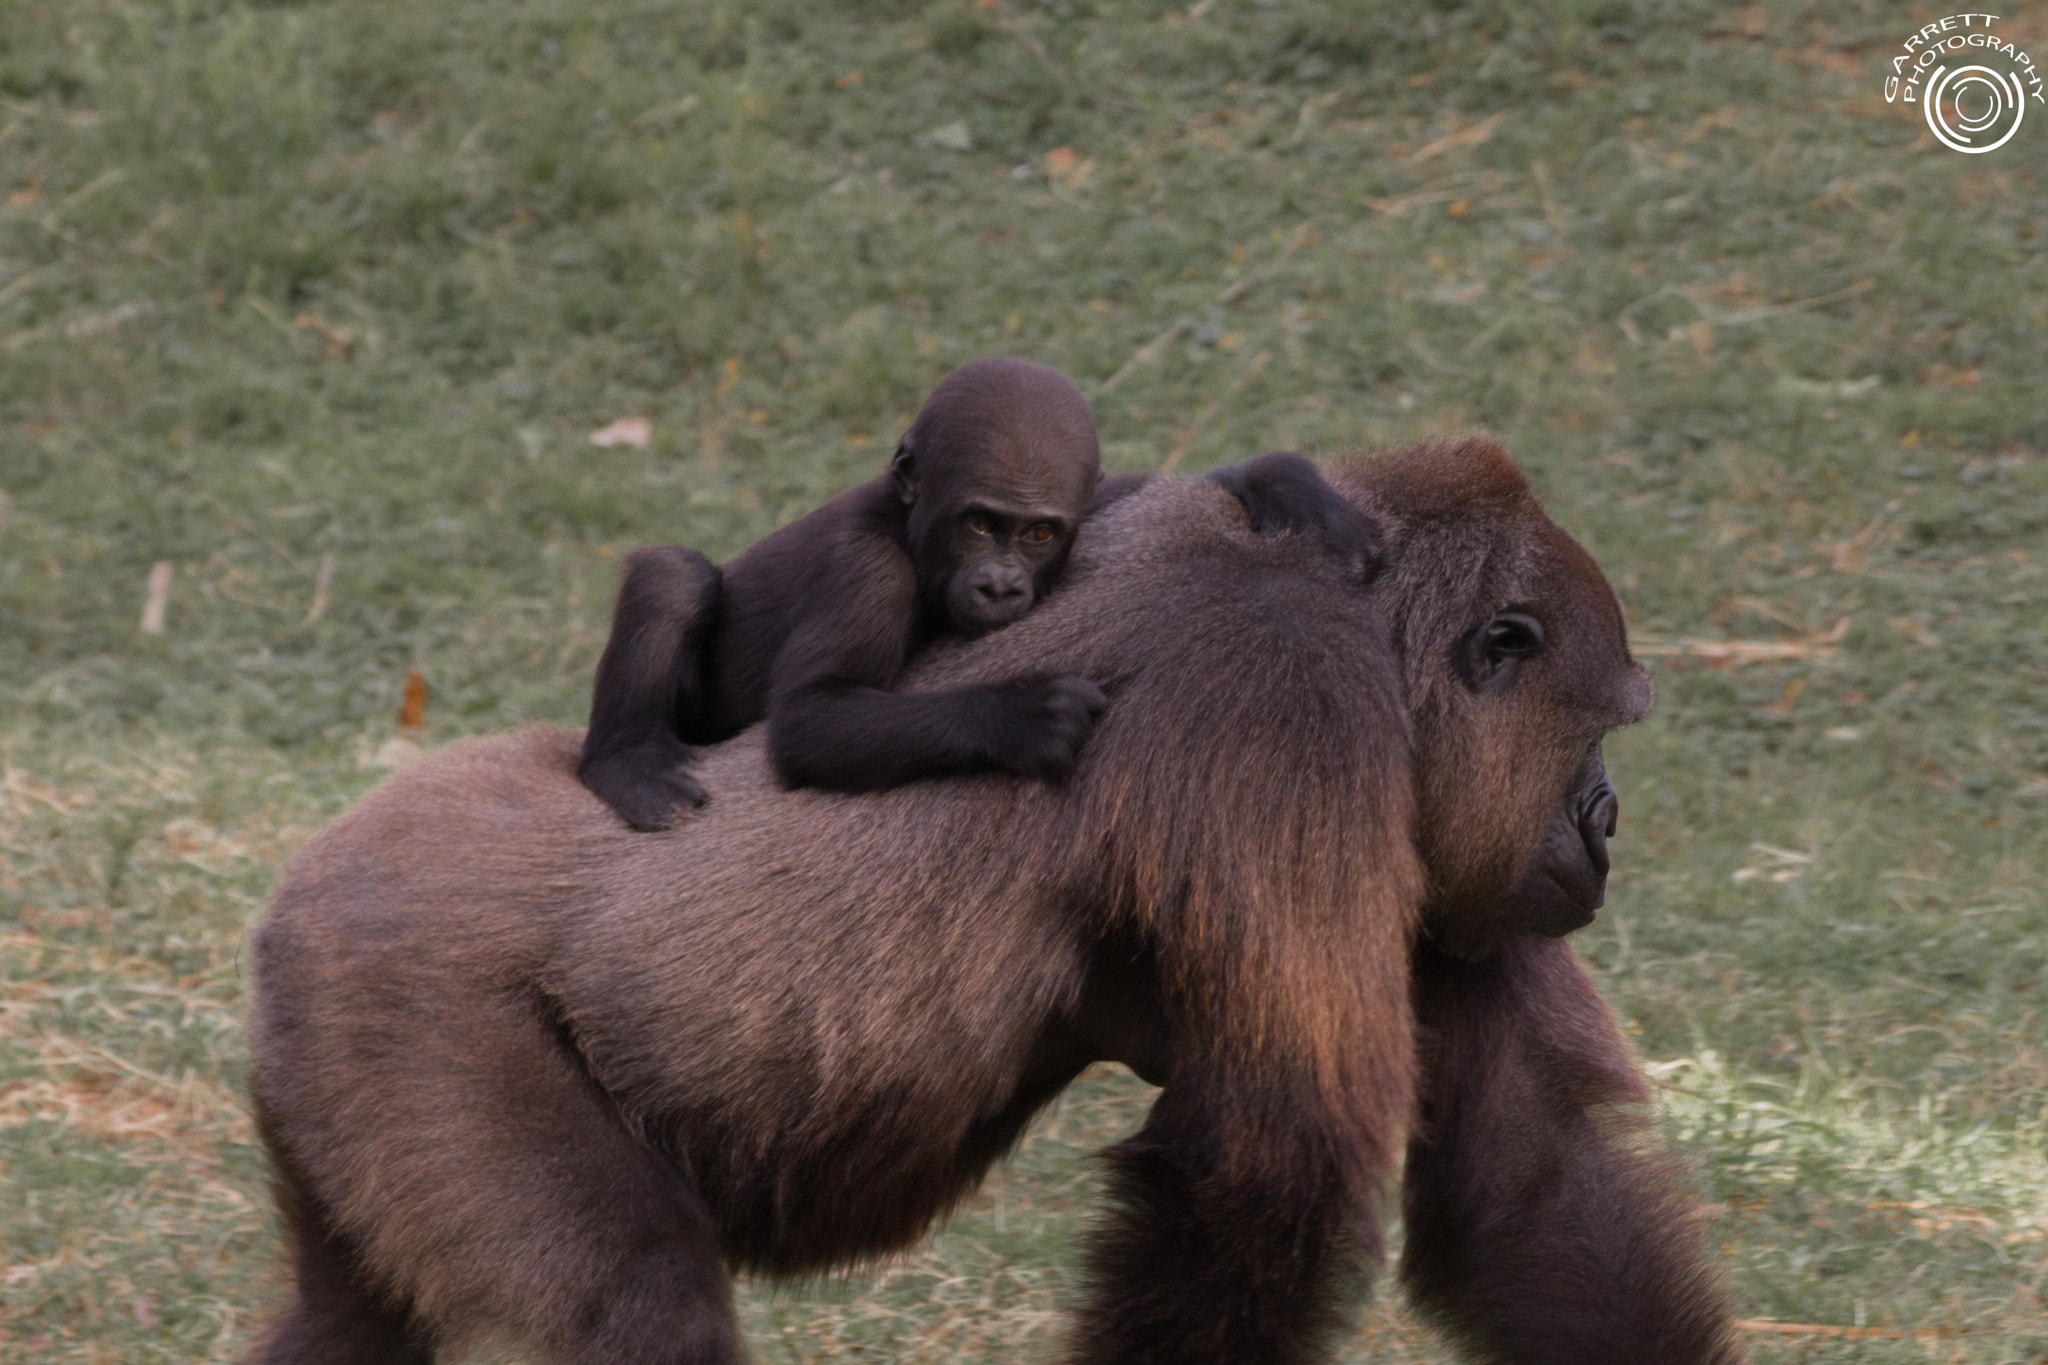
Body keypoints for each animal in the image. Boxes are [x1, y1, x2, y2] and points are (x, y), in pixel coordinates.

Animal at [247, 435, 1742, 1365]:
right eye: (1596, 730)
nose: (1606, 821)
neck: (1371, 620)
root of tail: (285, 903)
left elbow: (1534, 1174)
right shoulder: (1294, 704)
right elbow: (1272, 1162)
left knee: (351, 1320)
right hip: (408, 1012)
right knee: (639, 1303)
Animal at [576, 356, 1380, 829]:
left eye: (1038, 534)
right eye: (980, 523)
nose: (1000, 585)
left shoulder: (1085, 508)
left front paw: (1290, 488)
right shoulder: (866, 570)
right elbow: (810, 718)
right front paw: (1022, 715)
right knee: (674, 576)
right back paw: (626, 761)